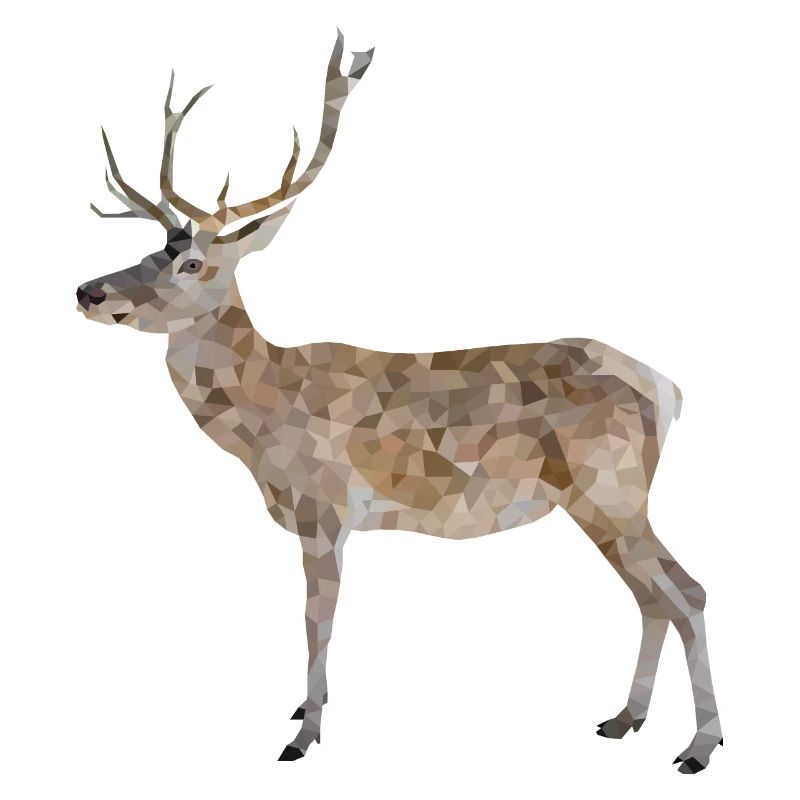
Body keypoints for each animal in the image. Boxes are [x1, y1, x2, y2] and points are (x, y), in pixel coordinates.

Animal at [76, 31, 722, 771]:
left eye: (191, 263)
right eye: (150, 249)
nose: (89, 291)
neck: (264, 418)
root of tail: (670, 389)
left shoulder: (326, 507)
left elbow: (317, 622)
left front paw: (303, 735)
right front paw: (304, 711)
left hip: (612, 488)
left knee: (687, 592)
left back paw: (699, 746)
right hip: (599, 503)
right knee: (651, 598)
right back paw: (625, 719)